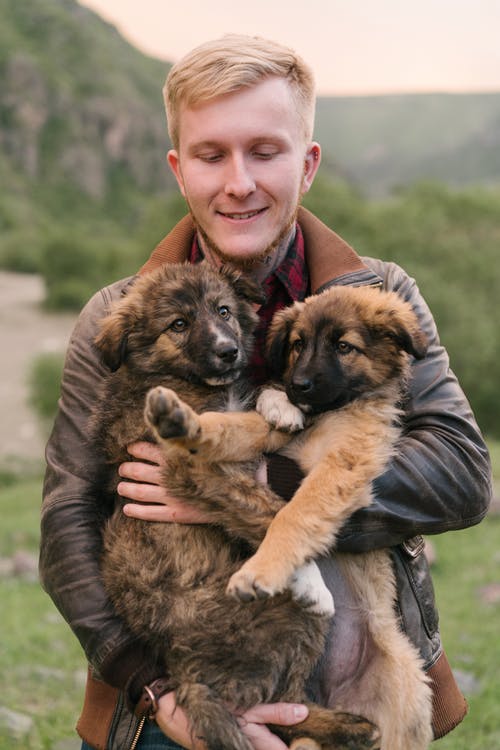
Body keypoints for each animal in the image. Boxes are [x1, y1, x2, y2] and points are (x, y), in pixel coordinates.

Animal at [92, 262, 378, 750]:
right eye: (178, 324)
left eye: (223, 310)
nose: (229, 352)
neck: (189, 382)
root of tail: (184, 673)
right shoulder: (191, 471)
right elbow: (270, 510)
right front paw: (310, 579)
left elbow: (258, 400)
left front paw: (281, 405)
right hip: (288, 619)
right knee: (280, 710)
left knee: (288, 708)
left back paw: (351, 726)